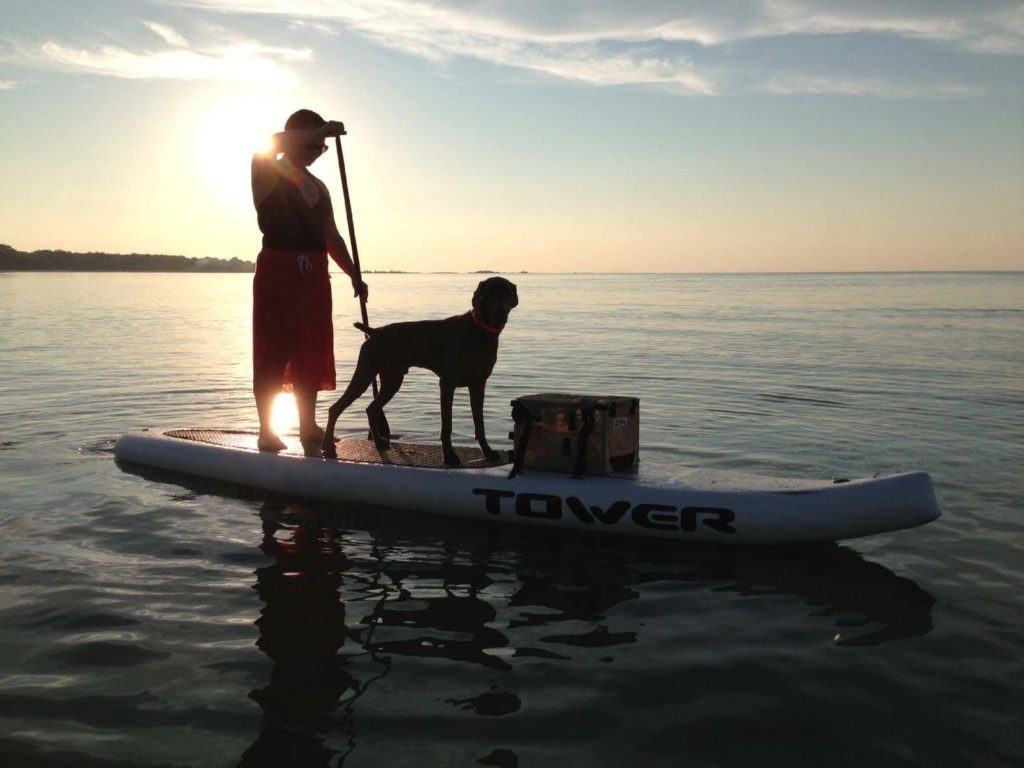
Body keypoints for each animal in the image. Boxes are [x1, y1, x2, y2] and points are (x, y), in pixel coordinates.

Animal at [321, 278, 520, 466]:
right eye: (490, 293)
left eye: (508, 292)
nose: (500, 312)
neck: (479, 331)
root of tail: (374, 331)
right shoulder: (447, 384)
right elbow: (447, 425)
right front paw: (449, 456)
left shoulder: (478, 385)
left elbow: (480, 425)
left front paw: (488, 452)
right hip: (365, 372)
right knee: (336, 408)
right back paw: (327, 445)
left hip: (392, 380)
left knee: (371, 409)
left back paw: (379, 443)